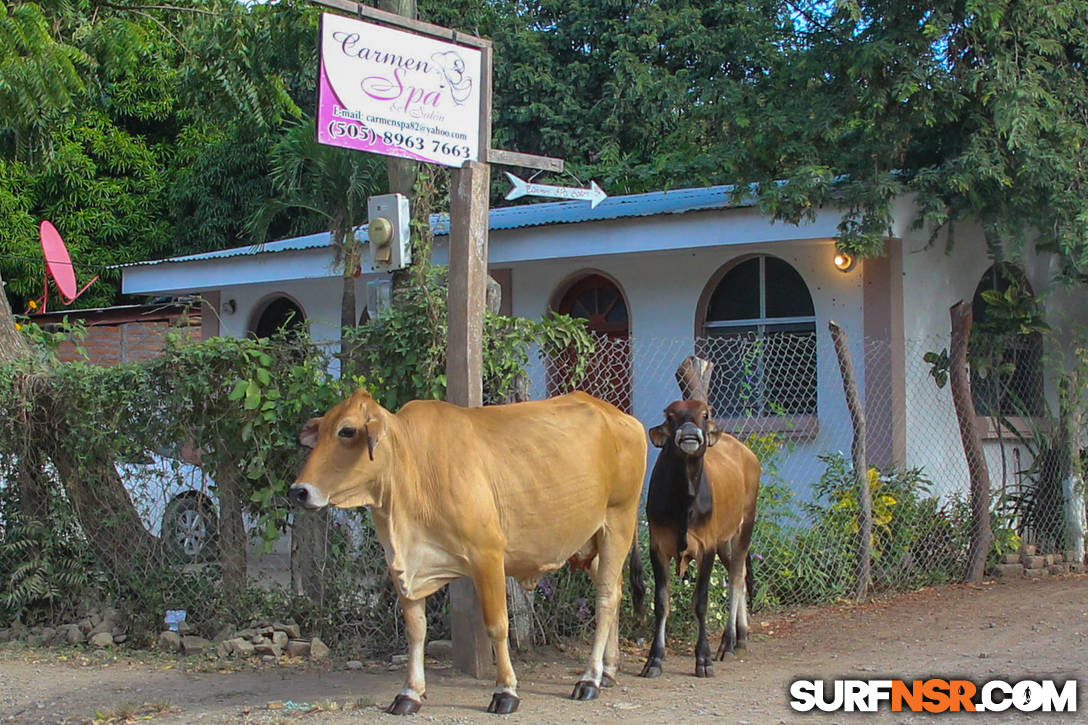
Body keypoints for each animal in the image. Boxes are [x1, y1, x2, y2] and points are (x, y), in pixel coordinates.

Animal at [289, 389, 644, 709]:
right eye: (321, 431)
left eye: (347, 430)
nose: (299, 491)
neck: (410, 464)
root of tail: (621, 416)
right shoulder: (402, 565)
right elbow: (415, 631)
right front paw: (410, 693)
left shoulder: (488, 556)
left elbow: (498, 626)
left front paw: (505, 690)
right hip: (593, 540)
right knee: (615, 591)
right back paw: (608, 671)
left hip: (618, 522)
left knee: (605, 599)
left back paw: (590, 678)